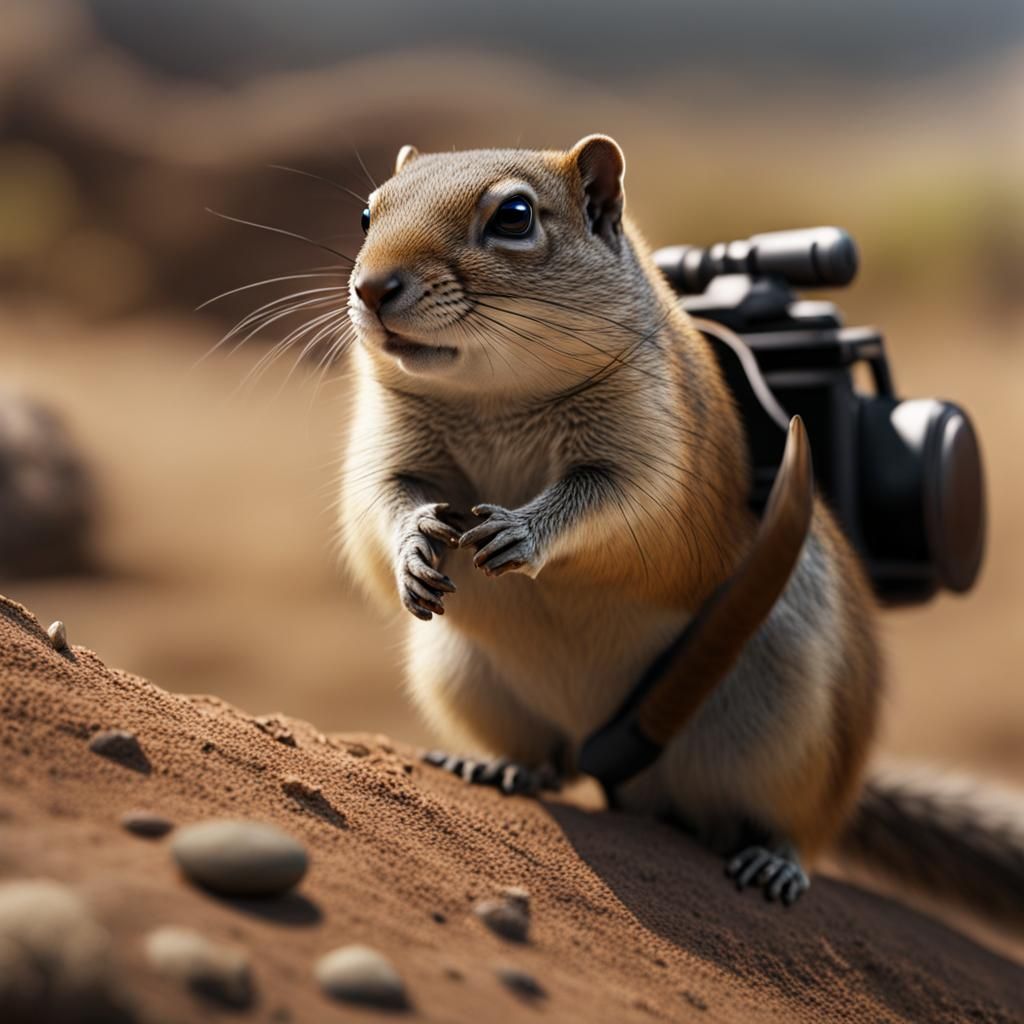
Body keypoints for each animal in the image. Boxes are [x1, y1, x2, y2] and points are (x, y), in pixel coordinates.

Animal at [338, 135, 1024, 918]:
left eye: (514, 216)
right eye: (367, 214)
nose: (372, 288)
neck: (494, 398)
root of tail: (616, 763)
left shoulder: (659, 454)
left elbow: (609, 501)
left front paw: (524, 531)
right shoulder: (386, 449)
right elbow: (381, 505)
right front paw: (413, 547)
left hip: (789, 731)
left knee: (796, 823)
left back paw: (774, 859)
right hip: (463, 675)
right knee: (552, 763)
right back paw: (504, 768)